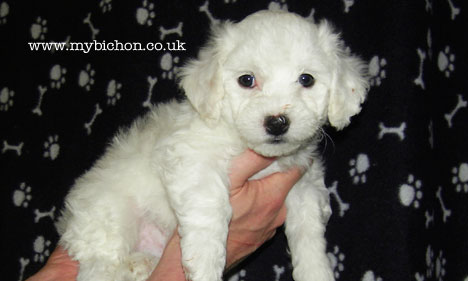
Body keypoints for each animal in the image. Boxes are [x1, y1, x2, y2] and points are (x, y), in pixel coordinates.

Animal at [55, 9, 370, 280]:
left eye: (307, 79)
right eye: (247, 80)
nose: (277, 122)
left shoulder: (304, 183)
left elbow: (308, 230)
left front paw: (317, 272)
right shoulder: (192, 159)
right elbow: (210, 208)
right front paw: (205, 266)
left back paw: (142, 264)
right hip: (110, 215)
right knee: (99, 265)